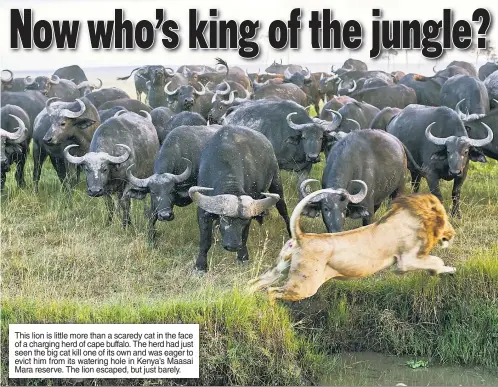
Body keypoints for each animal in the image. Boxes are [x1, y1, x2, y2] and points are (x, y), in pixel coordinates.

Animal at [249, 190, 456, 304]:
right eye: (446, 219)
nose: (452, 234)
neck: (412, 216)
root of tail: (301, 236)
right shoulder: (405, 262)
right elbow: (436, 261)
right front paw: (449, 271)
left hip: (280, 270)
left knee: (255, 283)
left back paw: (245, 298)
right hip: (304, 286)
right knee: (271, 292)